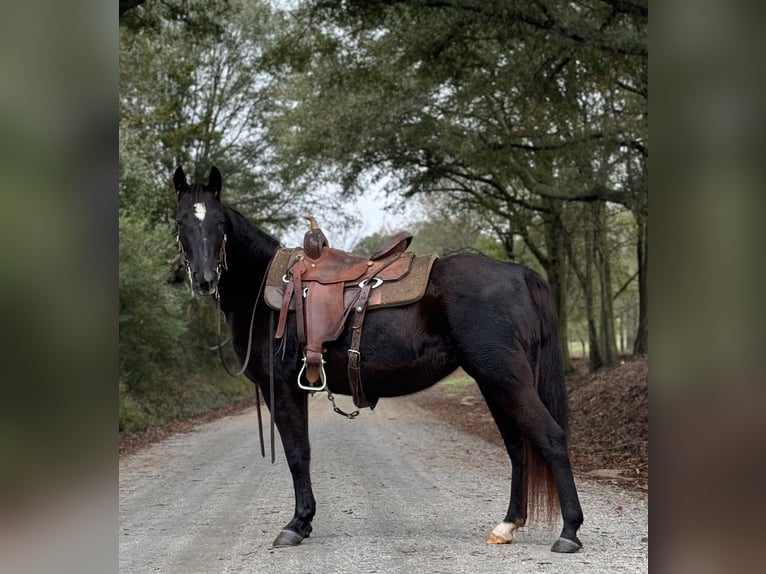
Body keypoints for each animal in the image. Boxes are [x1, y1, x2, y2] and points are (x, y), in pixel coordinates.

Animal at [172, 165, 584, 552]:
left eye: (219, 222)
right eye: (180, 222)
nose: (205, 278)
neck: (263, 289)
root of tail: (521, 275)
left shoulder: (286, 389)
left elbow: (297, 453)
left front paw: (297, 524)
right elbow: (301, 452)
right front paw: (303, 521)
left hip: (506, 379)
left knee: (550, 438)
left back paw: (569, 532)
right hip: (493, 383)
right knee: (518, 448)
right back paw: (507, 525)